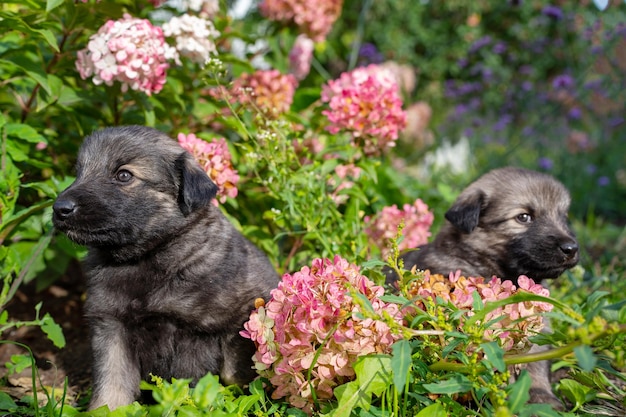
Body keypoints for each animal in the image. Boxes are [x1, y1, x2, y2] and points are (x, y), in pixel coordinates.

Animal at [53, 126, 278, 410]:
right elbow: (111, 383)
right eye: (79, 172)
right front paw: (104, 411)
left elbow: (230, 375)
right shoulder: (111, 325)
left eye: (123, 175)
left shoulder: (239, 316)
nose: (59, 209)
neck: (147, 255)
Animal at [388, 167, 576, 406]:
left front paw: (542, 396)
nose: (571, 248)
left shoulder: (538, 329)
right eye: (523, 217)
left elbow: (535, 365)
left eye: (563, 216)